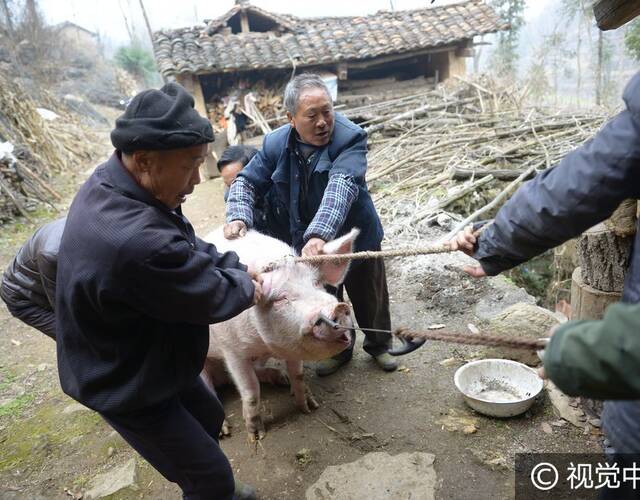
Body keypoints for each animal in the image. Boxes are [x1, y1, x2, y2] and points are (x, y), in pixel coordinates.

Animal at [202, 227, 358, 438]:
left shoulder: (292, 346)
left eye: (317, 283)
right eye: (280, 299)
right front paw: (256, 436)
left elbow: (298, 375)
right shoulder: (232, 351)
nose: (339, 308)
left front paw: (309, 407)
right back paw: (222, 432)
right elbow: (251, 392)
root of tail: (222, 378)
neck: (261, 343)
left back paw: (281, 379)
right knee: (209, 389)